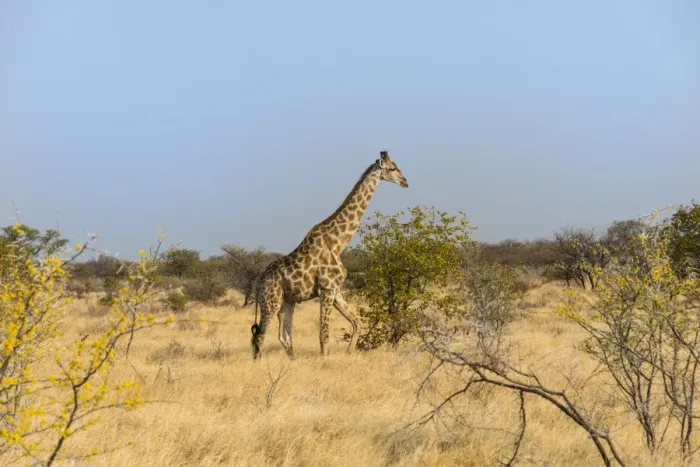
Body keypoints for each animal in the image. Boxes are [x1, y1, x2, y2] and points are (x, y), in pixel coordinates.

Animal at [249, 150, 409, 359]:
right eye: (392, 168)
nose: (405, 181)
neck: (338, 242)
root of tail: (258, 282)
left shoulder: (336, 290)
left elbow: (357, 323)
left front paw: (349, 354)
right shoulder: (326, 290)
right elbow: (324, 334)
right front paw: (325, 360)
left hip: (287, 302)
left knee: (283, 336)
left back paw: (294, 362)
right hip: (270, 301)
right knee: (260, 336)